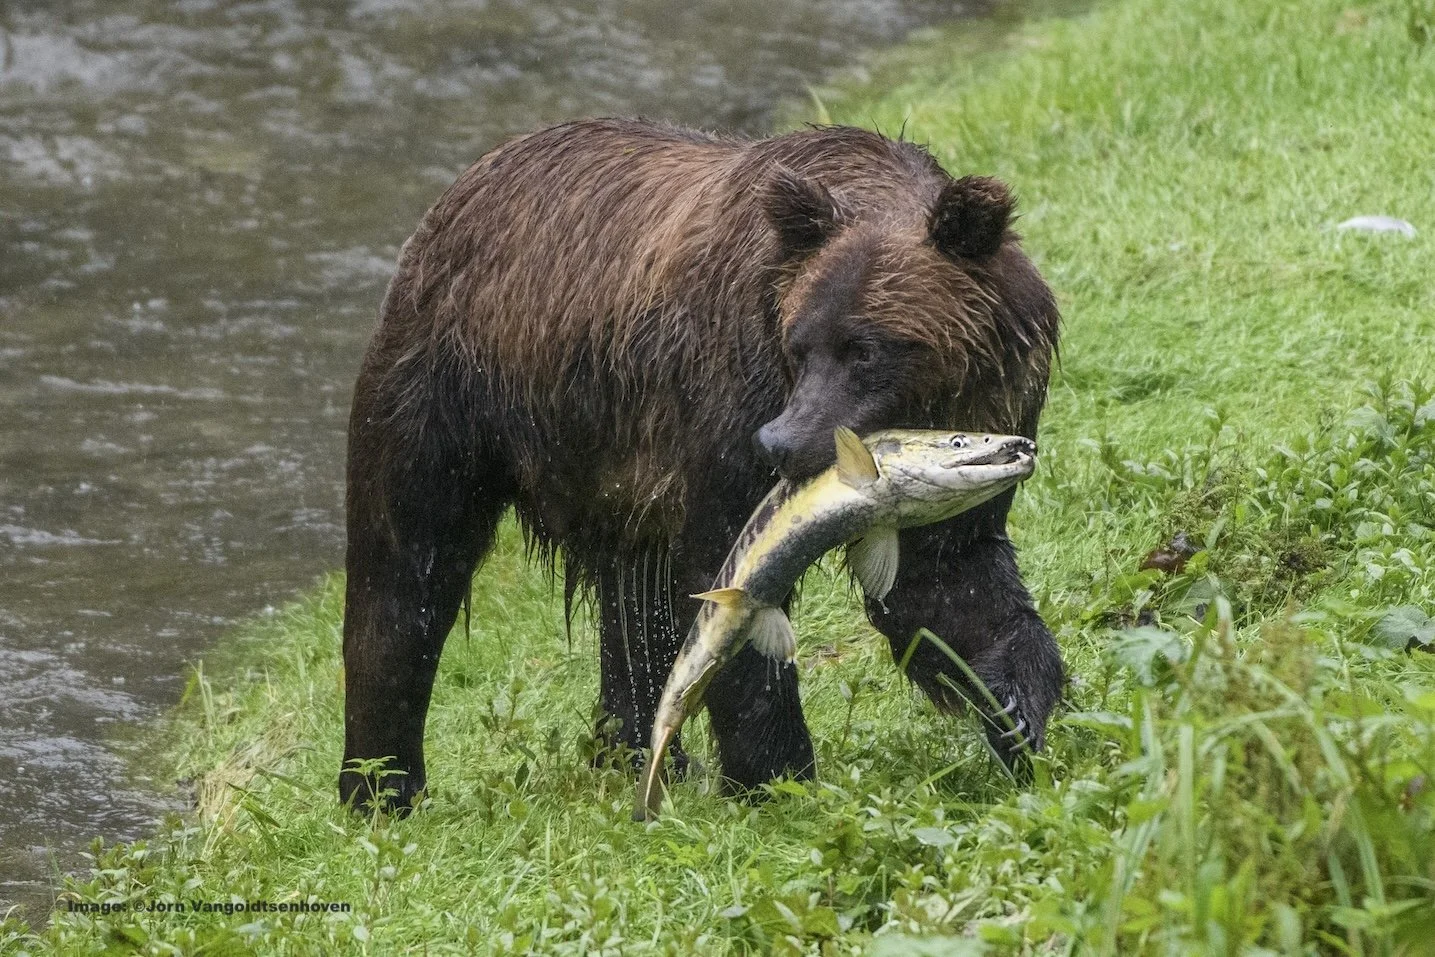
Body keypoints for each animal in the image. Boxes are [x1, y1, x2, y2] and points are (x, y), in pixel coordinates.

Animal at [340, 117, 1063, 812]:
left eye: (866, 348)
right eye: (801, 343)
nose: (782, 441)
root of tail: (462, 186)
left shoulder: (990, 404)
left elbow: (947, 579)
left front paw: (1016, 713)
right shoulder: (727, 398)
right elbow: (726, 582)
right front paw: (776, 775)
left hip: (616, 465)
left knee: (634, 606)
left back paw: (635, 752)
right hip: (449, 391)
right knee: (407, 570)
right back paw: (381, 784)